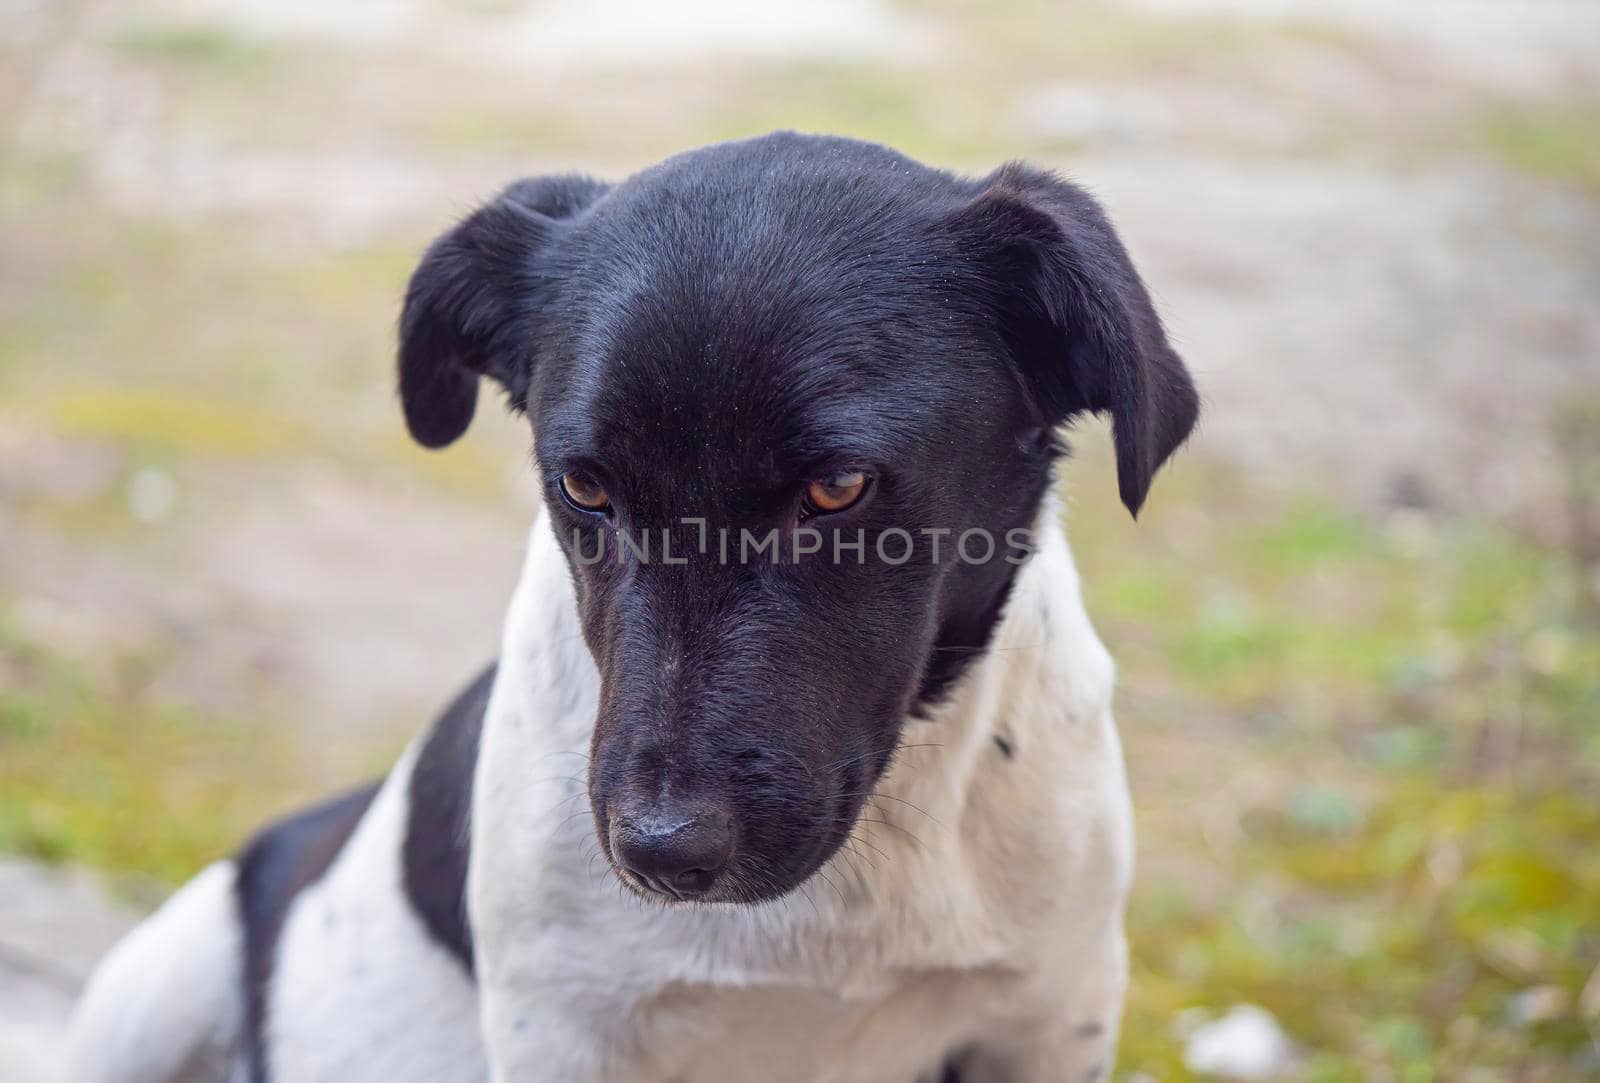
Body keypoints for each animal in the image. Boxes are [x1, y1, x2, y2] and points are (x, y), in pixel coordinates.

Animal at [75, 132, 1203, 1081]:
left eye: (839, 486)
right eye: (583, 486)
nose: (662, 852)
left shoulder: (1047, 1015)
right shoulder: (565, 1032)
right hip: (147, 985)